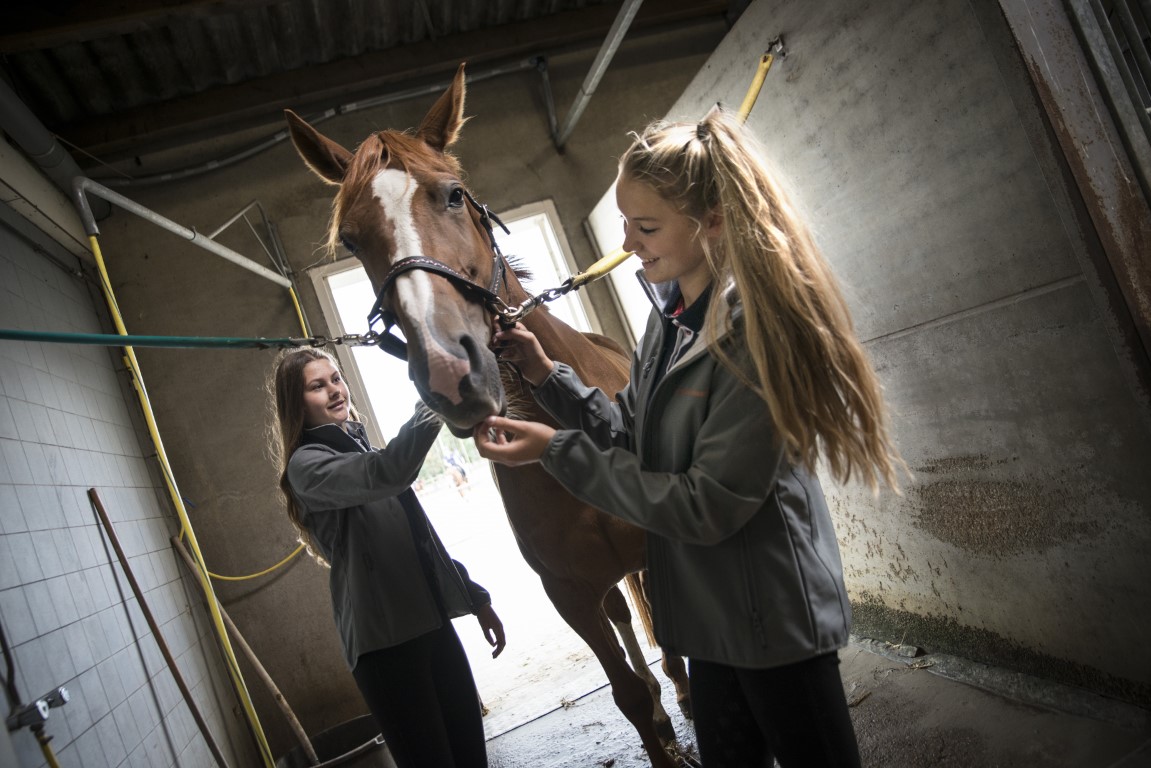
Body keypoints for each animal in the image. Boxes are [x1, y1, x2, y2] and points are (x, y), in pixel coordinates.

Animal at [286, 66, 690, 768]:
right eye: (353, 240)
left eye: (454, 195)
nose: (450, 371)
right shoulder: (568, 592)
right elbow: (632, 696)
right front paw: (660, 733)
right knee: (624, 624)